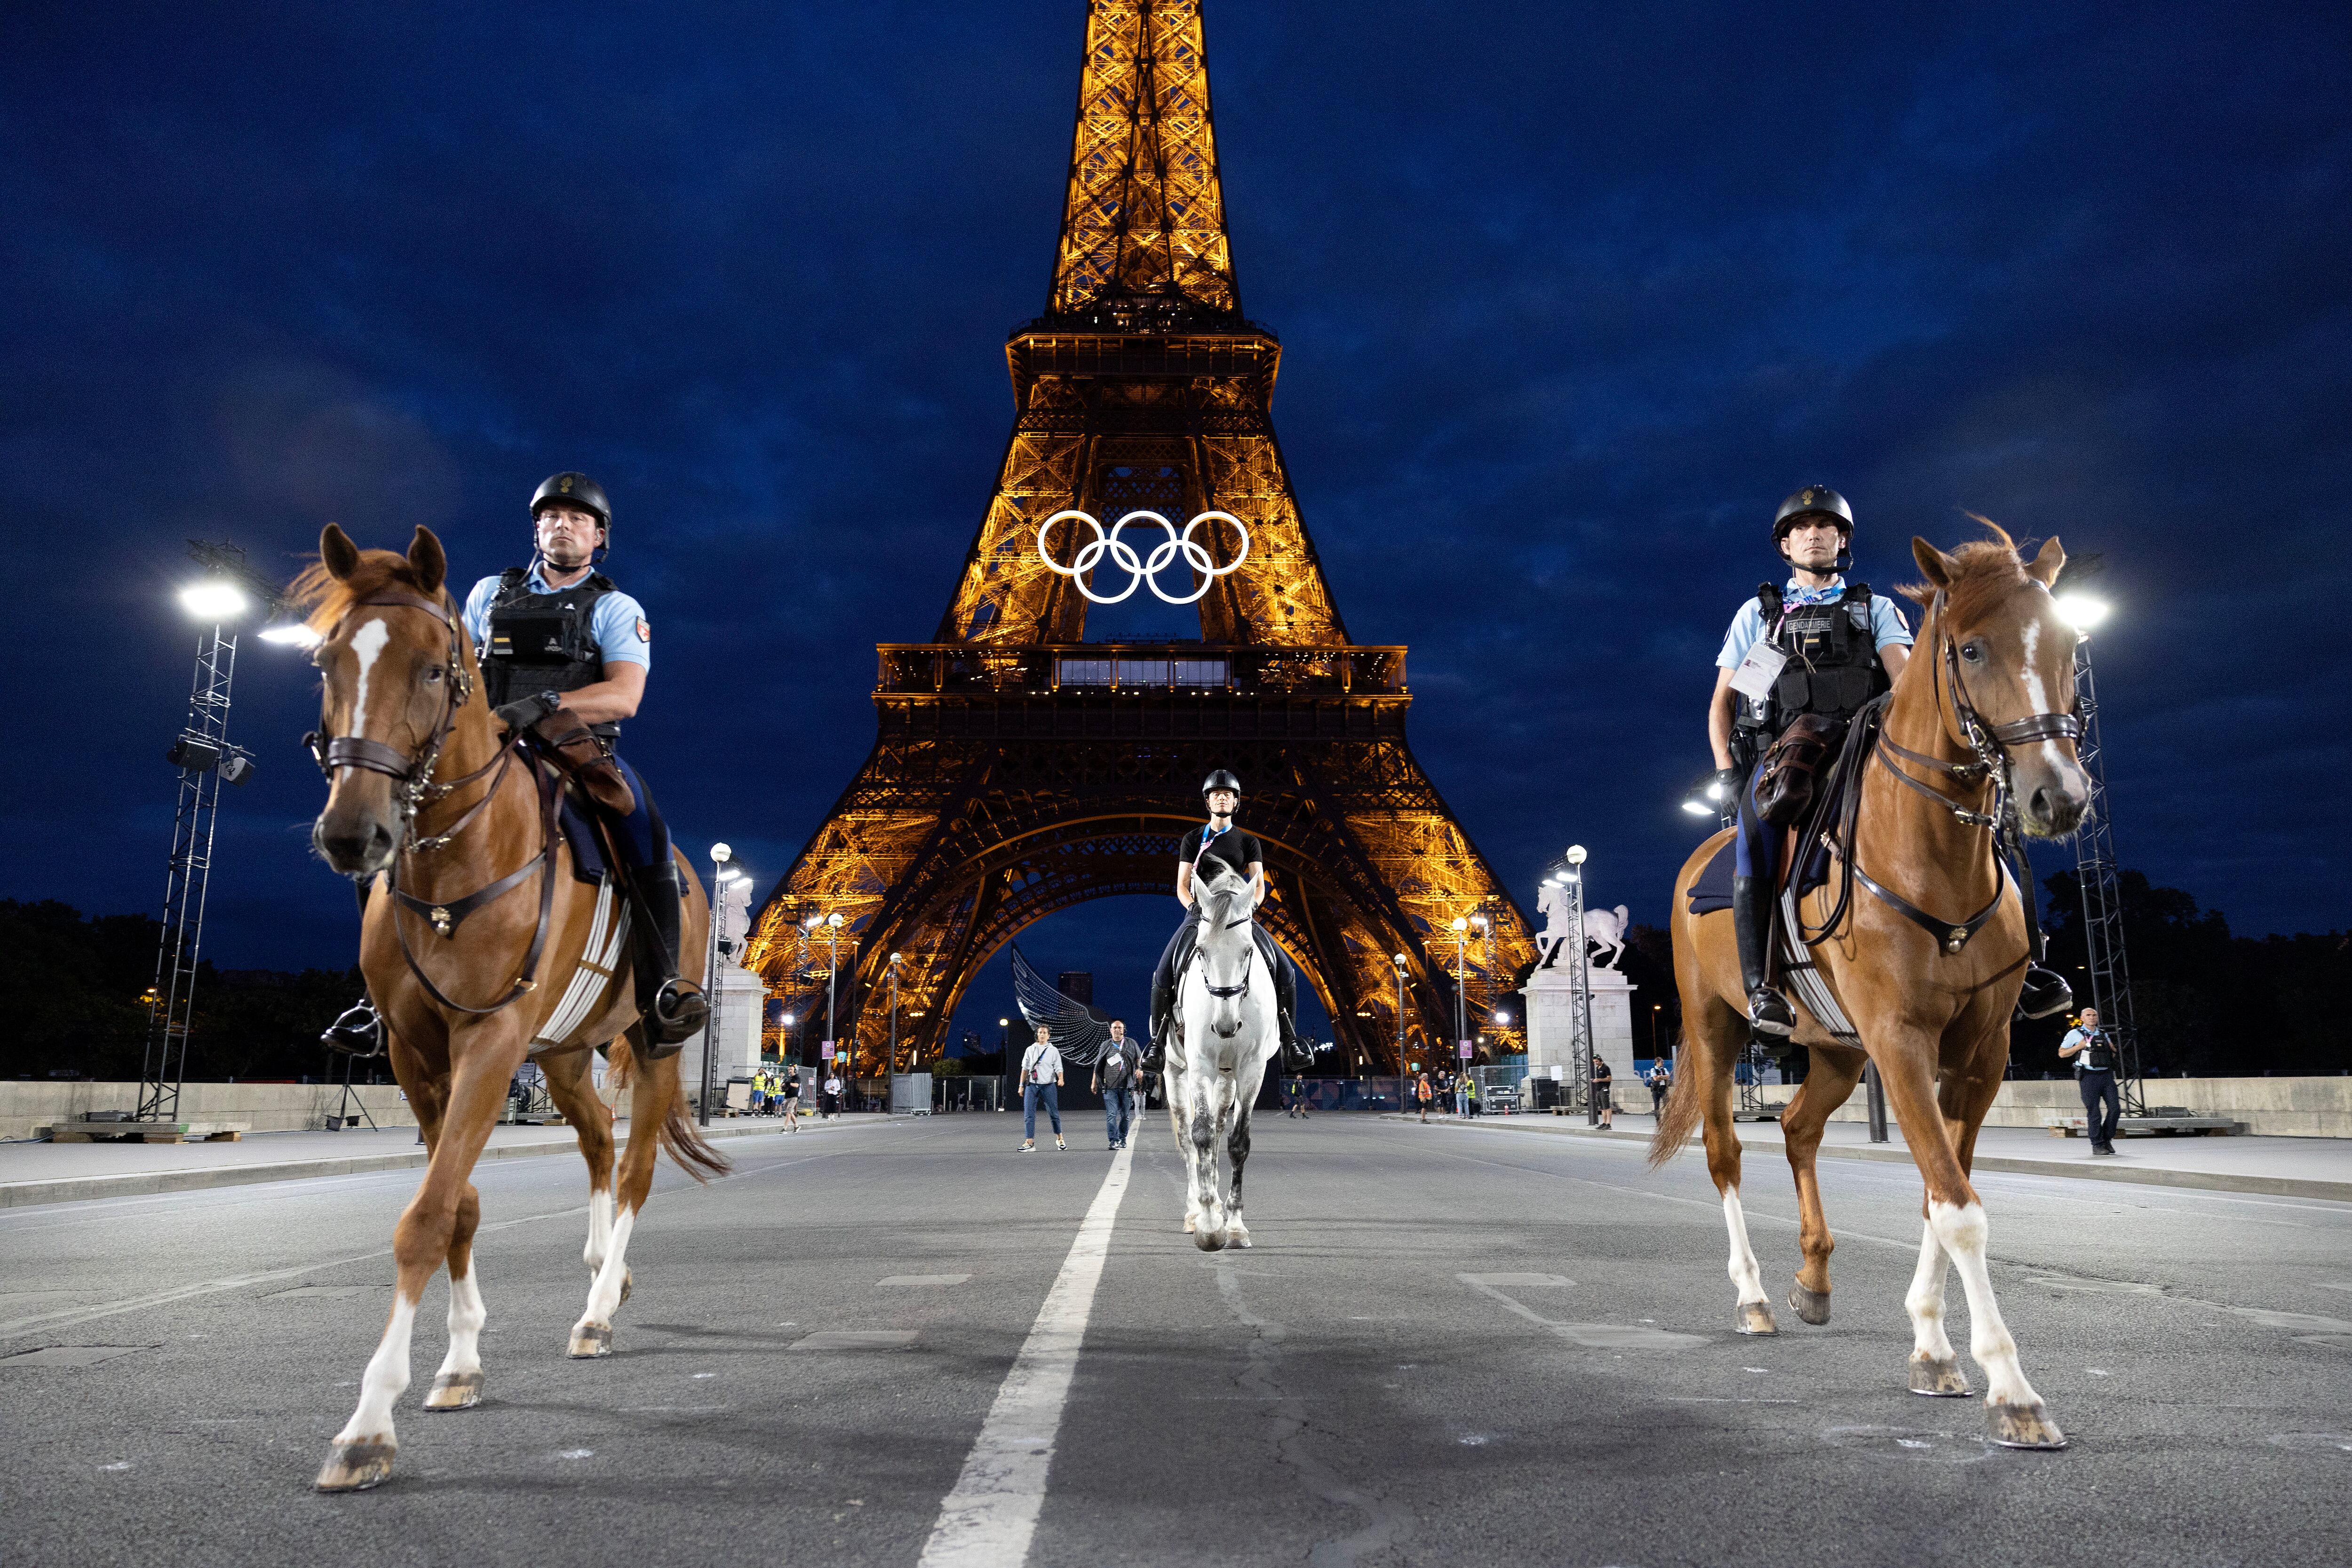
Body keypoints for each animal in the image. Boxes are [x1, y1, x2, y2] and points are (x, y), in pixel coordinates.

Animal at [299, 526, 729, 1495]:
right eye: (326, 662)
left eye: (433, 669)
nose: (352, 834)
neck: (452, 856)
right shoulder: (417, 1054)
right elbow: (457, 1204)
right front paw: (458, 1362)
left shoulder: (490, 1038)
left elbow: (424, 1216)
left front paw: (368, 1423)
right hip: (566, 1049)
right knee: (600, 1143)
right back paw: (605, 1266)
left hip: (654, 1038)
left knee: (636, 1165)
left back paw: (600, 1307)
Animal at [1162, 860, 1279, 1250]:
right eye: (1200, 951)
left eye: (1248, 951)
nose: (1226, 1026)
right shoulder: (1200, 1065)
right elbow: (1199, 1136)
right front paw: (1210, 1225)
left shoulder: (1252, 1070)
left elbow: (1237, 1143)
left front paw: (1235, 1224)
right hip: (1175, 1073)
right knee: (1190, 1138)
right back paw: (1194, 1211)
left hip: (1227, 1079)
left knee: (1217, 1129)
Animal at [1665, 526, 2089, 1448]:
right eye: (1971, 648)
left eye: (2070, 644)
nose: (2061, 796)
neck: (1937, 853)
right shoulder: (1900, 1039)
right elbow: (1959, 1206)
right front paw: (2012, 1388)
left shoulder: (1981, 1051)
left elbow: (1940, 1193)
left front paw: (1932, 1346)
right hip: (1715, 1025)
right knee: (1724, 1152)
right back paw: (1754, 1295)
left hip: (1833, 1048)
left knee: (1796, 1129)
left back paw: (1814, 1278)